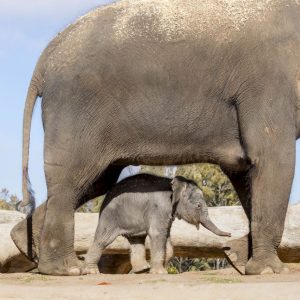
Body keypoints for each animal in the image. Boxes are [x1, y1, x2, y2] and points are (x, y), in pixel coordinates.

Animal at [84, 173, 230, 274]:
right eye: (199, 205)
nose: (230, 235)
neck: (172, 184)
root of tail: (106, 197)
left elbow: (166, 237)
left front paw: (159, 268)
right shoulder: (159, 208)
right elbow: (158, 234)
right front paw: (160, 272)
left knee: (137, 240)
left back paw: (142, 270)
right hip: (110, 216)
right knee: (103, 239)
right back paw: (92, 271)